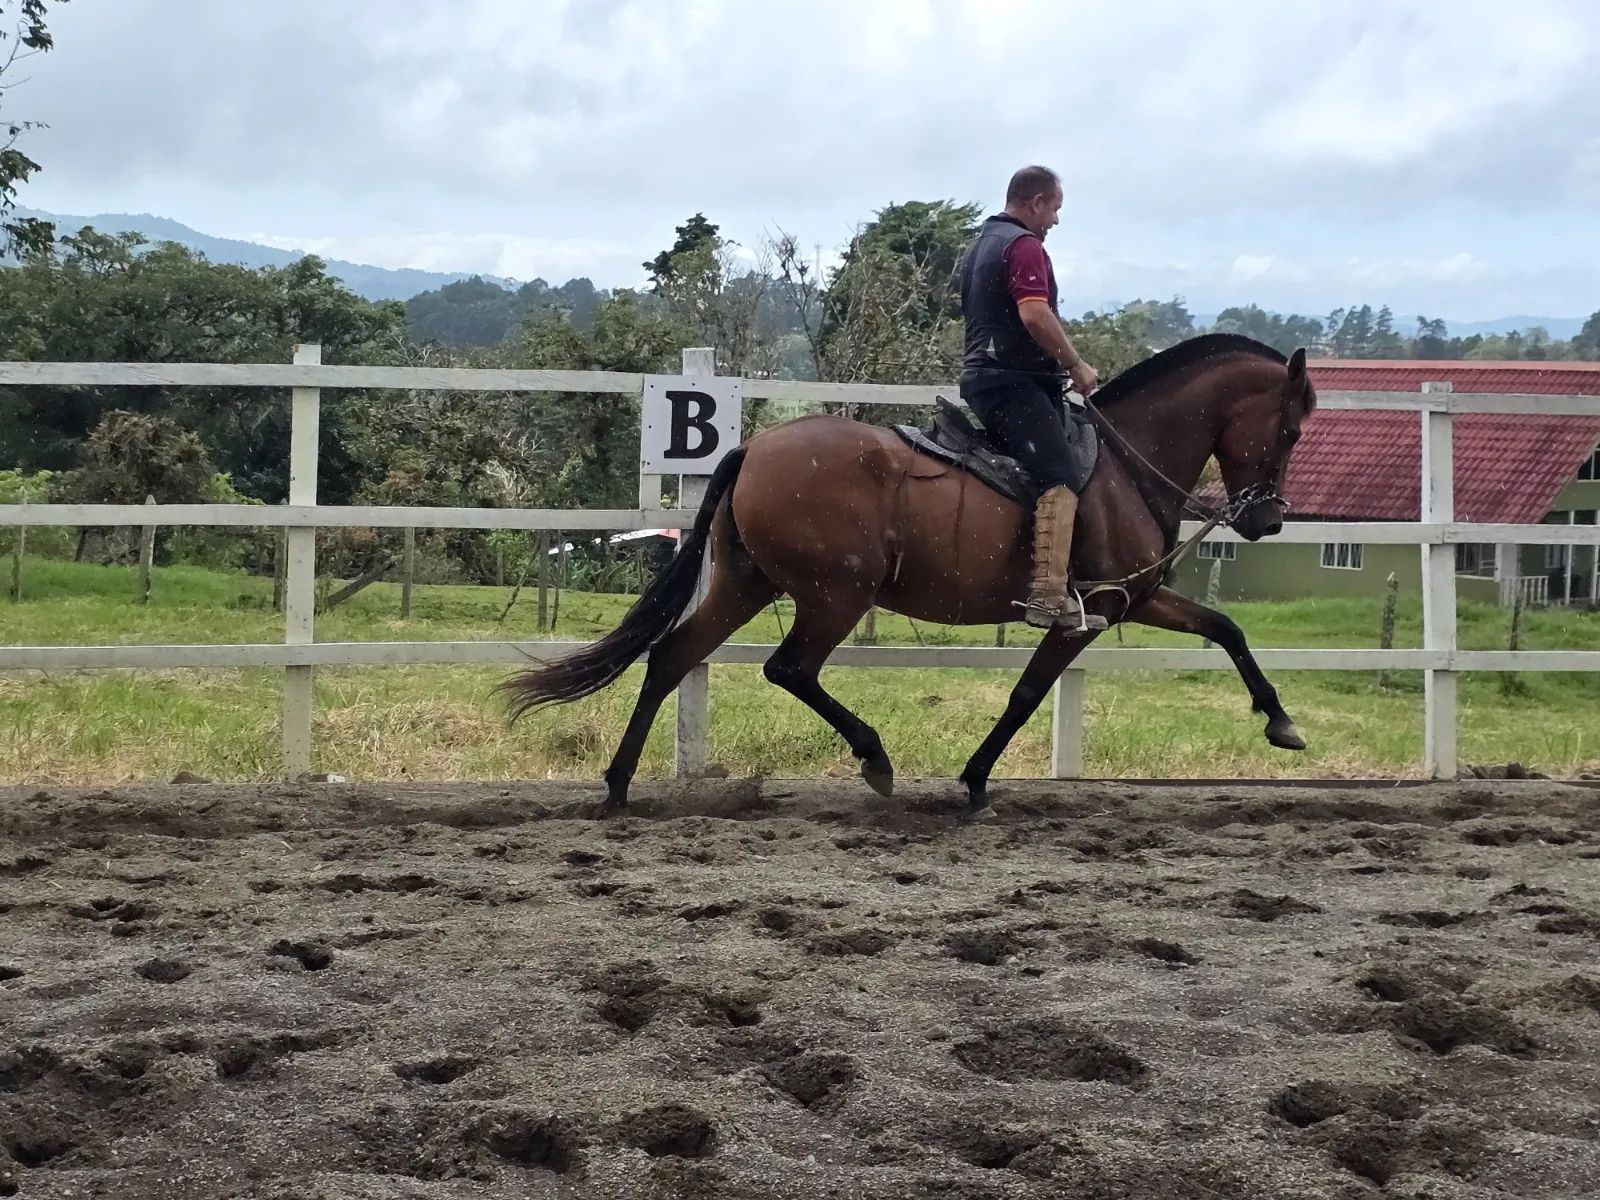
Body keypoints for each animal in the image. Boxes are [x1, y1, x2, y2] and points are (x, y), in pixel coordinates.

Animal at [500, 332, 1318, 819]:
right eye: (1289, 427)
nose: (1268, 519)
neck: (1122, 466)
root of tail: (754, 449)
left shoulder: (1136, 598)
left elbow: (1224, 627)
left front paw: (1280, 720)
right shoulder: (1093, 611)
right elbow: (1026, 694)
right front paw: (976, 779)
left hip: (745, 584)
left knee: (672, 657)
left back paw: (617, 785)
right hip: (834, 595)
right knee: (789, 668)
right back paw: (874, 758)